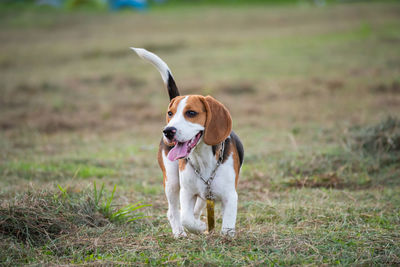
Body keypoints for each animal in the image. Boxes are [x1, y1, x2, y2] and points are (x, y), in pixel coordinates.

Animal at [131, 47, 244, 238]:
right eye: (170, 113)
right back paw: (179, 233)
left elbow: (228, 223)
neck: (203, 159)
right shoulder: (187, 193)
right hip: (171, 182)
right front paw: (199, 227)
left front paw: (225, 235)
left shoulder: (229, 195)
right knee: (173, 212)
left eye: (191, 113)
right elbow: (186, 218)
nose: (168, 131)